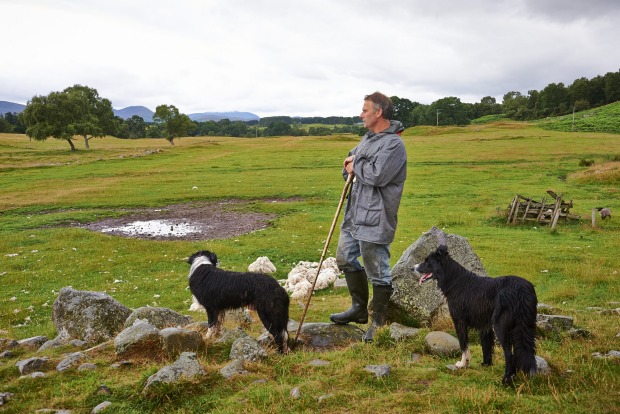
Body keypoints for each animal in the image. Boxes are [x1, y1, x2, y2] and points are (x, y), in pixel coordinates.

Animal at [416, 228, 536, 384]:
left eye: (427, 262)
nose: (413, 268)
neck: (454, 280)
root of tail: (522, 291)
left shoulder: (459, 320)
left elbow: (463, 344)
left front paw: (463, 363)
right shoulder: (484, 325)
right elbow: (486, 345)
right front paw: (486, 364)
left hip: (501, 325)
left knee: (509, 354)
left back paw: (505, 380)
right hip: (526, 325)